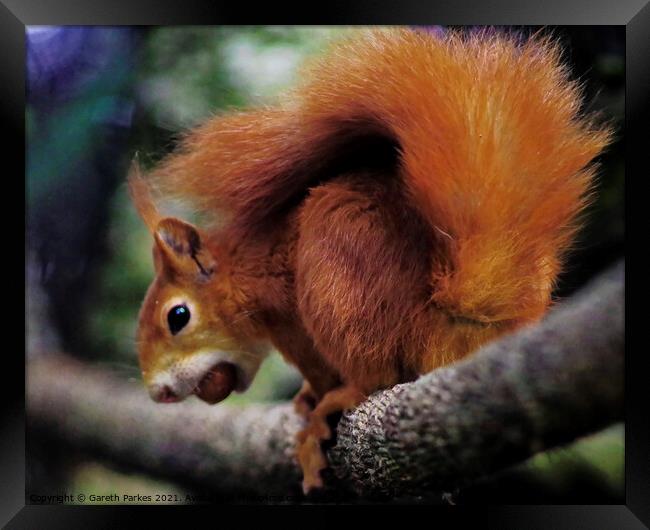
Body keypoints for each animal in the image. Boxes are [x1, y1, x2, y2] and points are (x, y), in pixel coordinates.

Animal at [129, 28, 612, 490]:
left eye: (177, 316)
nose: (159, 393)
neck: (242, 272)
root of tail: (452, 325)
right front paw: (304, 398)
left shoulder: (291, 324)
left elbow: (321, 370)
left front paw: (315, 402)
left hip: (336, 277)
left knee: (376, 374)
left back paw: (337, 404)